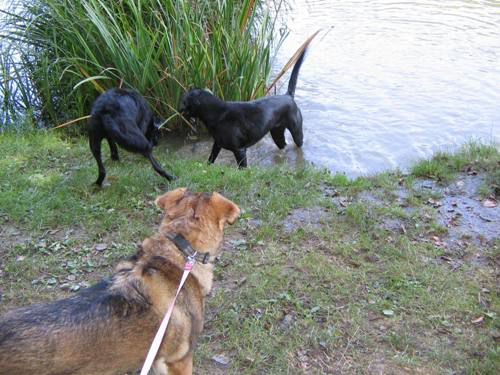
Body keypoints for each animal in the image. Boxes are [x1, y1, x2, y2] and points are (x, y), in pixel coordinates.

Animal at [178, 47, 306, 167]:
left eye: (184, 100)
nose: (178, 109)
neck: (218, 114)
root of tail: (288, 95)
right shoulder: (217, 144)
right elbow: (210, 160)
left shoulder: (239, 150)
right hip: (277, 133)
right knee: (283, 146)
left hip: (296, 131)